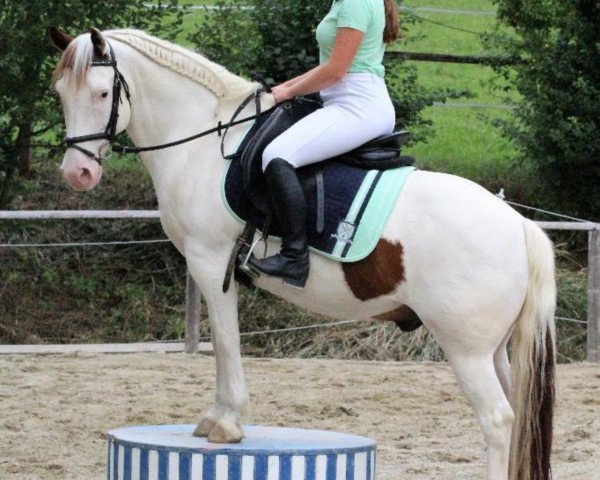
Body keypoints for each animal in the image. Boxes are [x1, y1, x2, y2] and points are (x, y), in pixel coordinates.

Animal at [49, 27, 556, 480]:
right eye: (60, 93)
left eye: (101, 93)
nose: (77, 173)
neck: (205, 144)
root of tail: (518, 225)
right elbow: (223, 344)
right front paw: (216, 417)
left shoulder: (210, 263)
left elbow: (226, 341)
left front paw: (227, 423)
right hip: (494, 349)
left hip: (466, 349)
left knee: (498, 420)